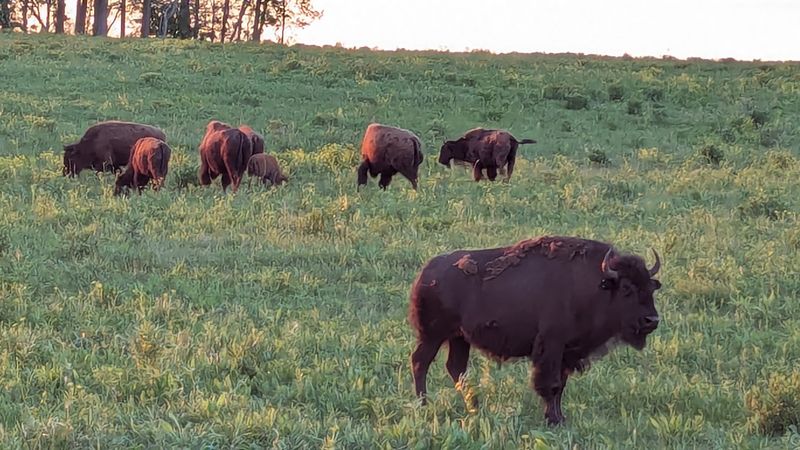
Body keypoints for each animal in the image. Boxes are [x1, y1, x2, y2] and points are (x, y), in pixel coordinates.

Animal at [408, 235, 662, 425]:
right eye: (626, 288)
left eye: (651, 288)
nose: (652, 320)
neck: (597, 285)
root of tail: (426, 274)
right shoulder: (551, 346)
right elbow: (551, 384)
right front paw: (554, 420)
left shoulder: (566, 352)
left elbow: (560, 386)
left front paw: (560, 417)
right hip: (433, 336)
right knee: (420, 362)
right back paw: (424, 404)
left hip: (459, 338)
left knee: (456, 368)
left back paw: (474, 406)